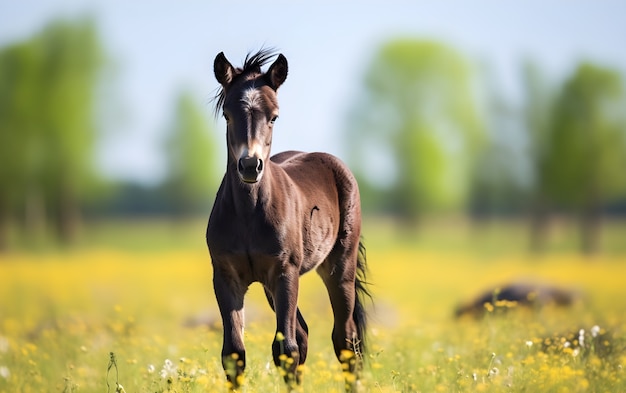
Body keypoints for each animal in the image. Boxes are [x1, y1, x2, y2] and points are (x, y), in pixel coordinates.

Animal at [205, 50, 370, 390]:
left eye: (274, 116)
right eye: (227, 114)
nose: (250, 165)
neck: (249, 215)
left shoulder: (285, 272)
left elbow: (286, 349)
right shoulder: (226, 277)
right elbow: (234, 353)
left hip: (338, 269)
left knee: (345, 340)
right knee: (305, 334)